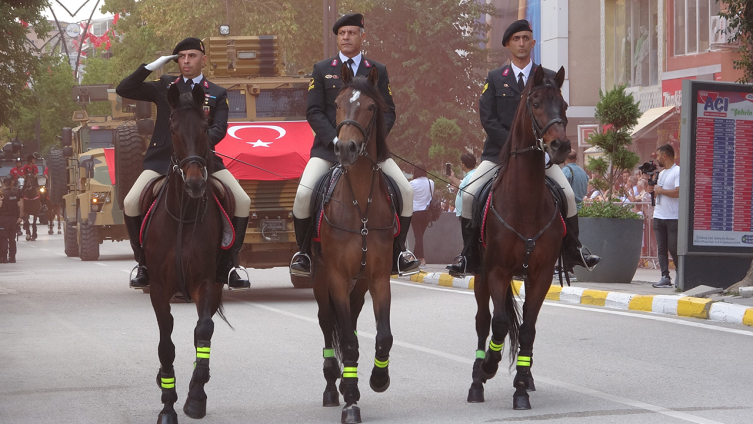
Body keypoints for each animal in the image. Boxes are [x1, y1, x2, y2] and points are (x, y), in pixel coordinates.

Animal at [142, 83, 228, 424]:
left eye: (205, 128)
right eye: (173, 129)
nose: (194, 183)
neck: (185, 213)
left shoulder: (205, 282)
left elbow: (203, 331)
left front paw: (195, 398)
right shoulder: (158, 289)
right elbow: (166, 344)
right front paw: (168, 406)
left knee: (202, 333)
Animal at [464, 66, 568, 410]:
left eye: (563, 104)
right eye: (535, 103)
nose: (561, 146)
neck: (525, 202)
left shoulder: (541, 274)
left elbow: (528, 330)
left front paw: (521, 387)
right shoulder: (496, 271)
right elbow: (498, 323)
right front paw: (488, 366)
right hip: (481, 275)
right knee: (483, 320)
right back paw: (477, 379)